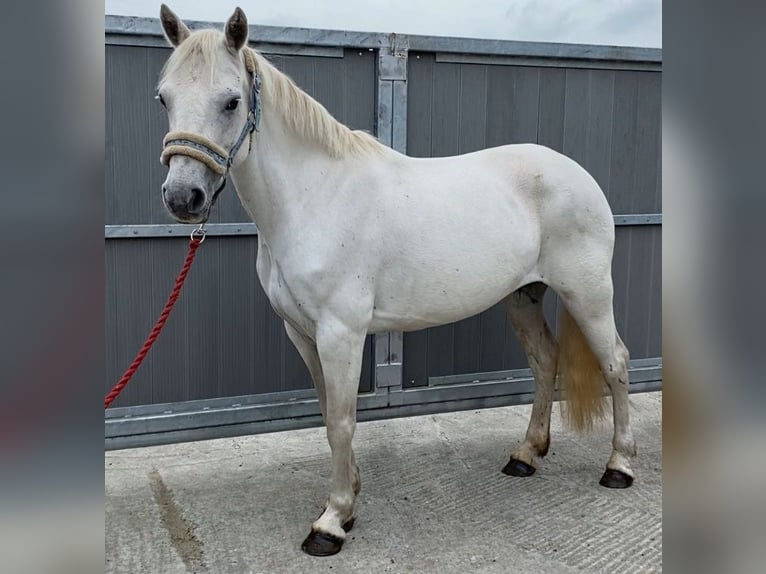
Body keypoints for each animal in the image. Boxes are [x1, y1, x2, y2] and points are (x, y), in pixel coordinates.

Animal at [154, 5, 636, 560]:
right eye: (164, 97)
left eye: (231, 101)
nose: (183, 197)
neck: (315, 196)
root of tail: (578, 175)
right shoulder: (301, 333)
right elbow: (328, 413)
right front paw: (350, 496)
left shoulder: (341, 333)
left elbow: (342, 421)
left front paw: (332, 522)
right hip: (523, 297)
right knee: (544, 362)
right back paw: (526, 455)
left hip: (589, 293)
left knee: (615, 362)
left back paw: (619, 466)